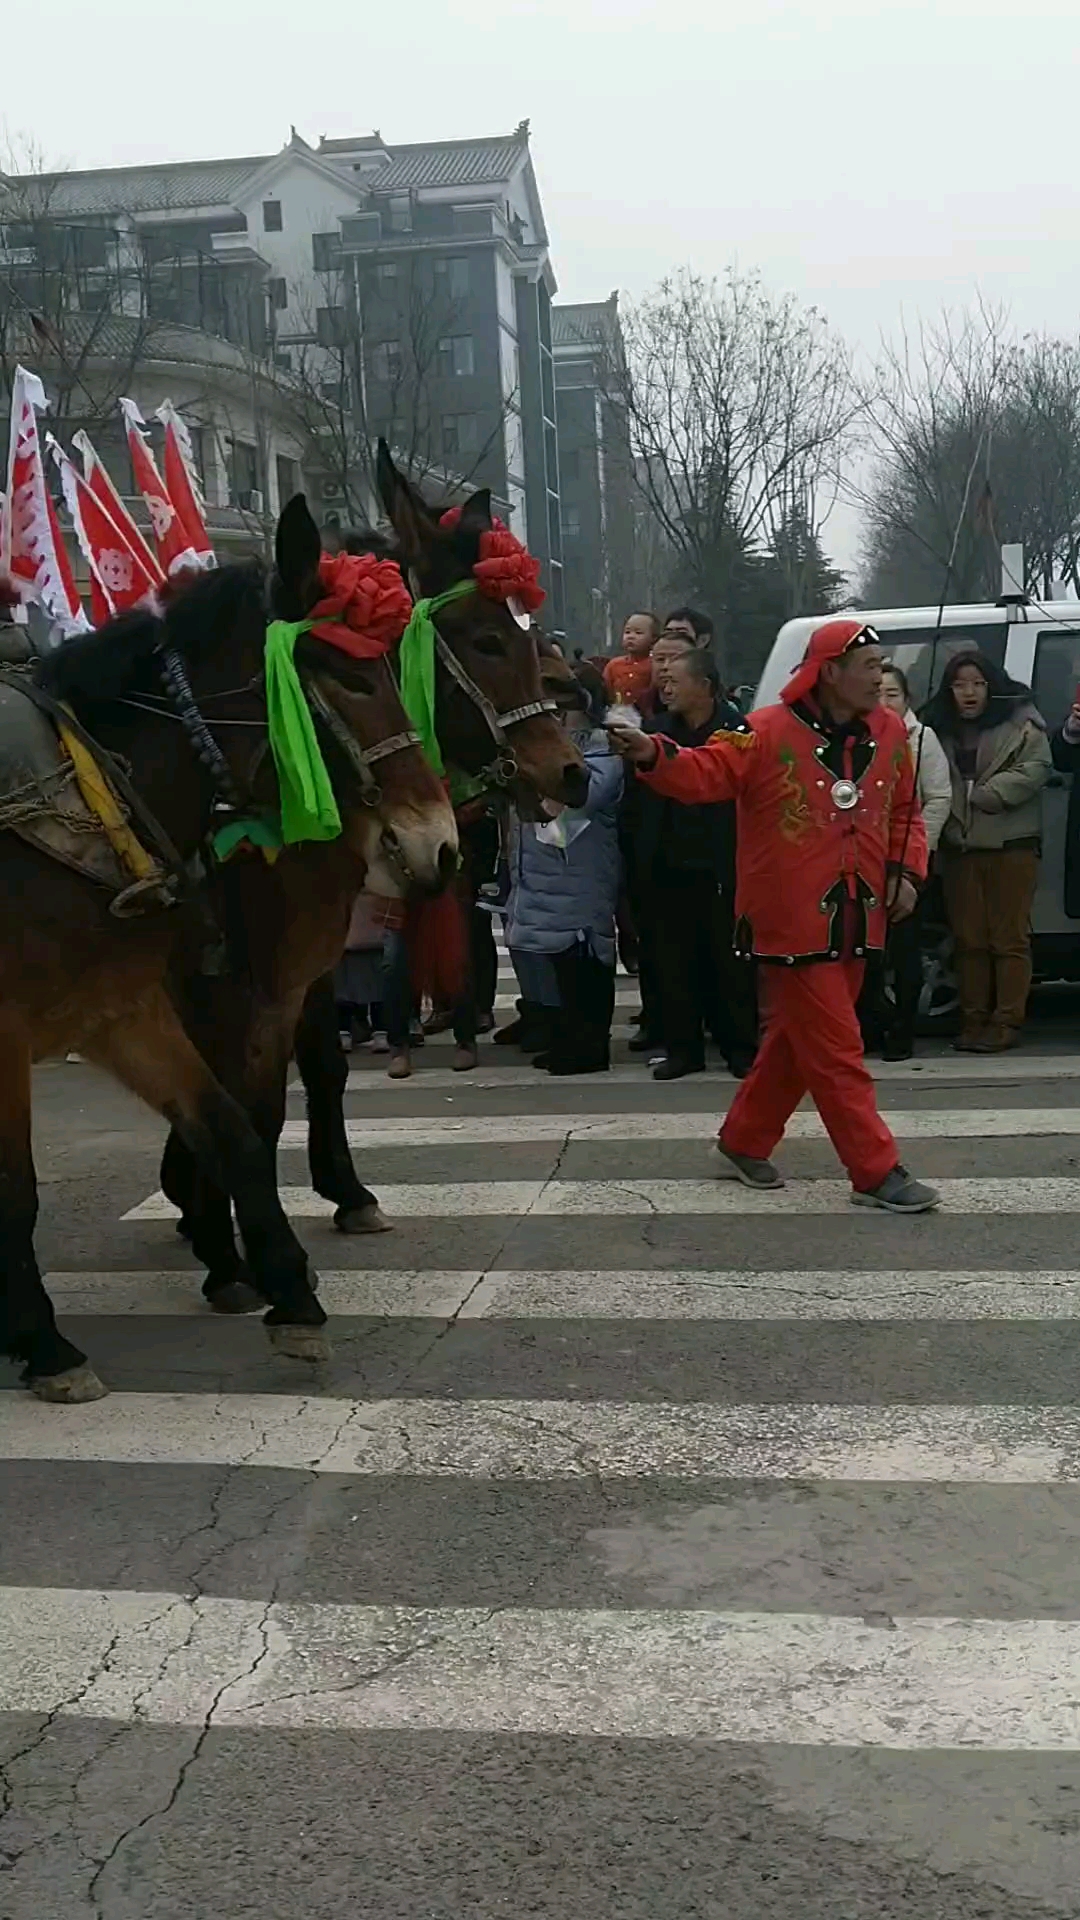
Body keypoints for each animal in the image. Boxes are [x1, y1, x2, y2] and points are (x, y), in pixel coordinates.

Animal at [1, 491, 453, 1397]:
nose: (441, 845)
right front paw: (46, 1343)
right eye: (351, 674)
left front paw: (289, 1292)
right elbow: (17, 1192)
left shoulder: (123, 1008)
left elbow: (235, 1130)